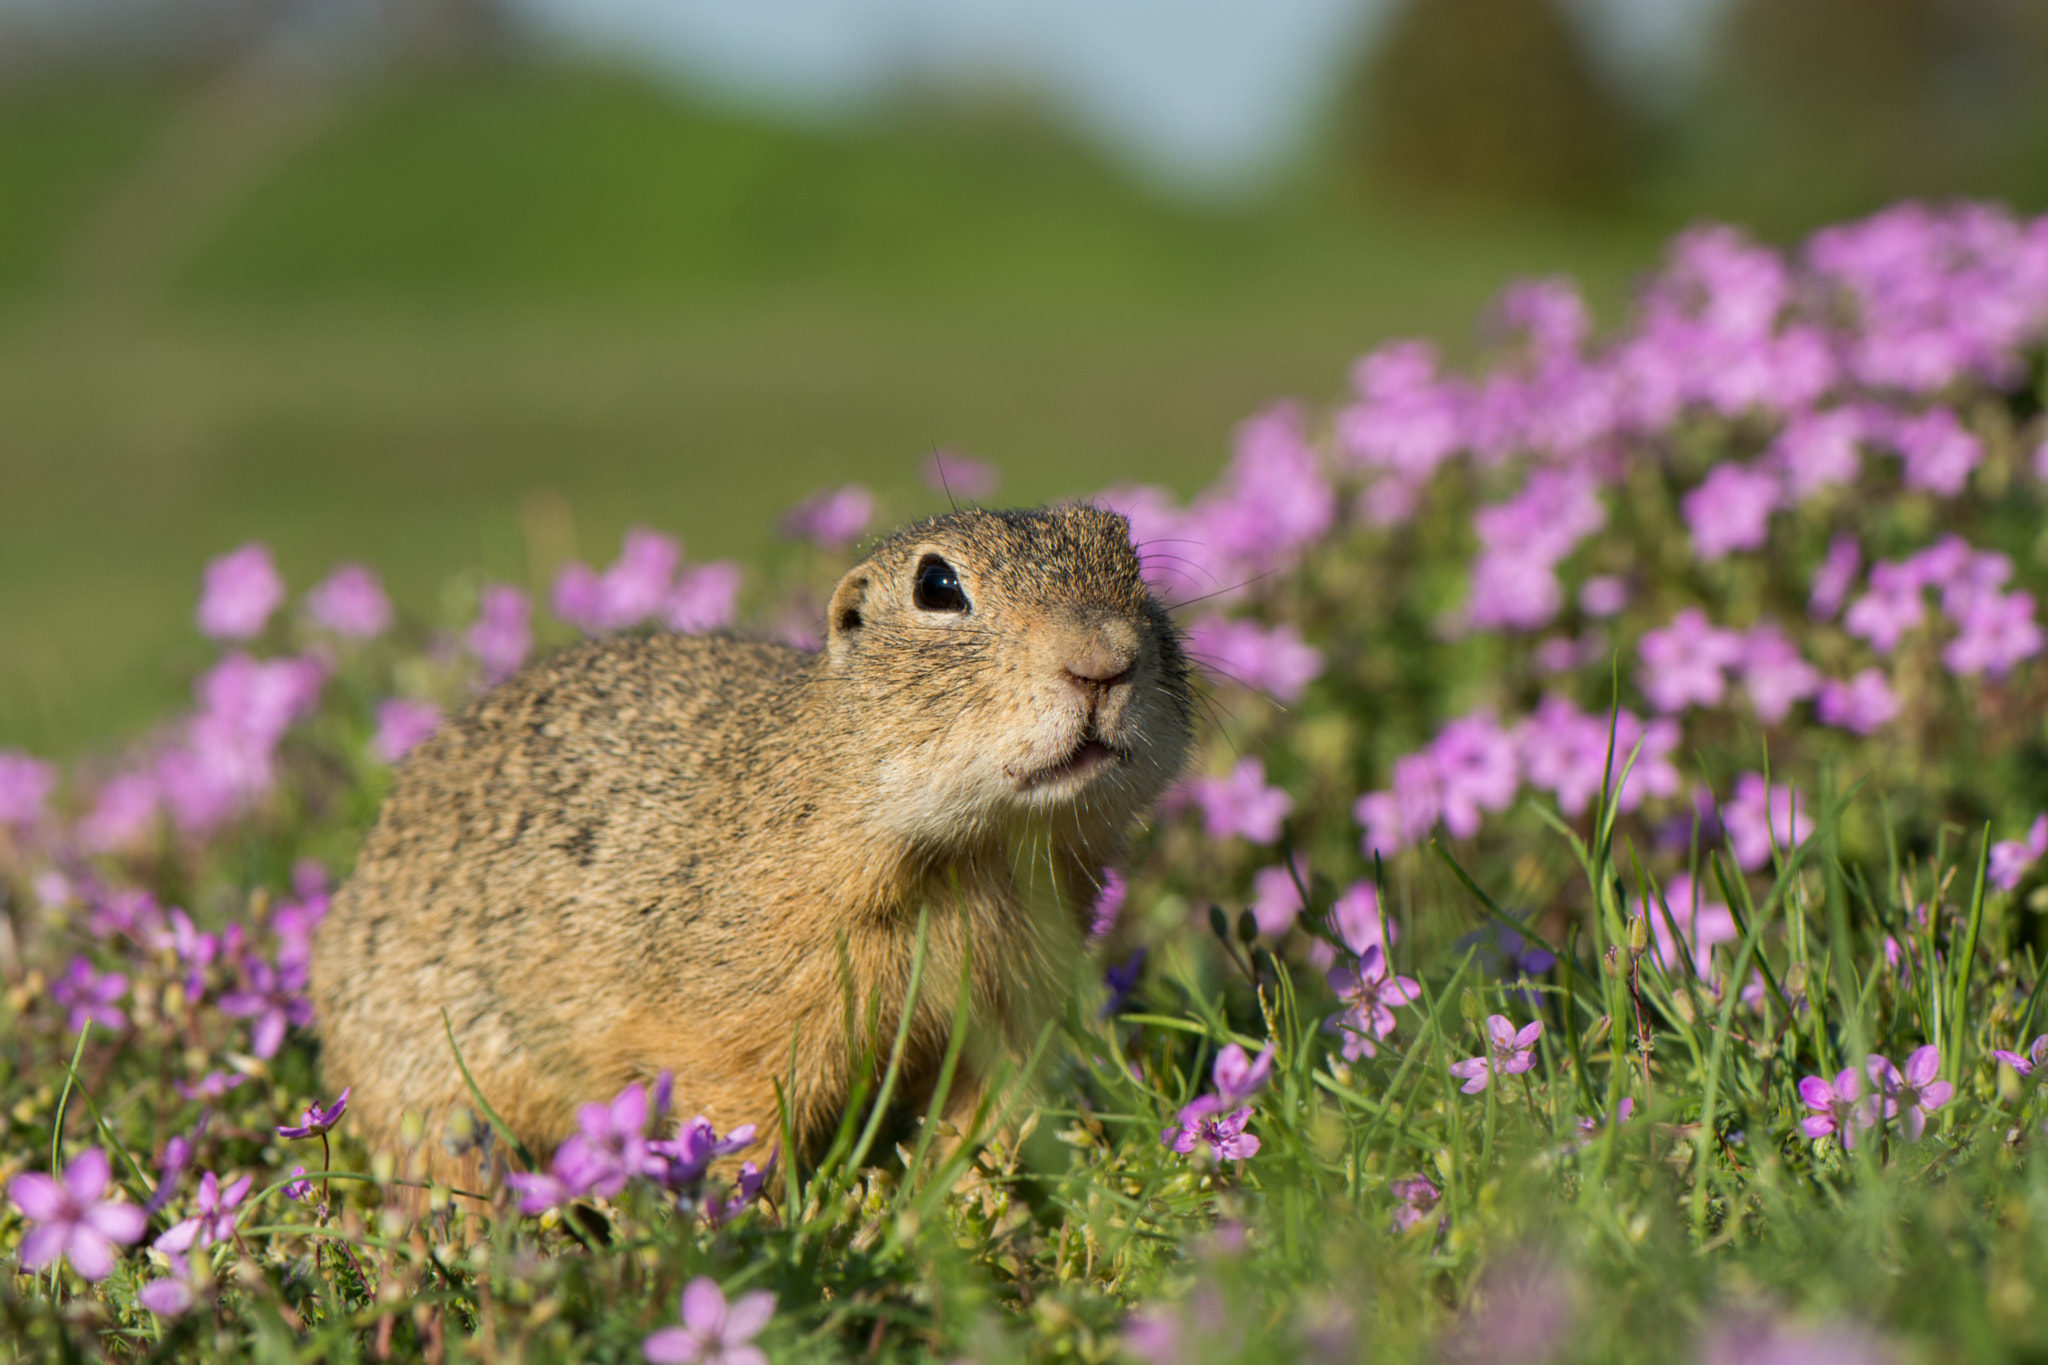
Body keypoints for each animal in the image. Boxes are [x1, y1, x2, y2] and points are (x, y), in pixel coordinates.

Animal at [310, 504, 1193, 1180]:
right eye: (937, 586)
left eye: (1129, 556)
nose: (1104, 660)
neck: (971, 861)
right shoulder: (737, 1026)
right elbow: (742, 1119)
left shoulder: (1013, 1009)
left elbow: (992, 1119)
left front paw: (972, 1201)